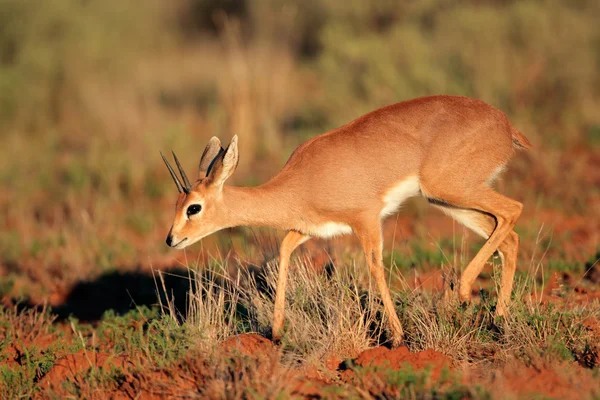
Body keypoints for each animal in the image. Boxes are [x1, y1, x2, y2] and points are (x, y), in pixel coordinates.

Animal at [162, 95, 532, 346]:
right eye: (178, 204)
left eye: (193, 207)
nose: (171, 239)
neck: (301, 180)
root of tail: (505, 124)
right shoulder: (308, 228)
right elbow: (283, 251)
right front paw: (277, 332)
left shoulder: (366, 220)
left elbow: (375, 267)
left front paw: (398, 337)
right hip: (446, 199)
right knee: (508, 237)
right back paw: (499, 321)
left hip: (451, 190)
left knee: (513, 209)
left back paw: (463, 293)